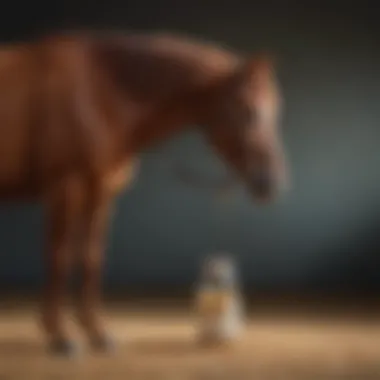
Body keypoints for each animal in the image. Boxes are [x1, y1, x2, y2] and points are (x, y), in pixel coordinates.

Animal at [0, 30, 288, 356]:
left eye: (276, 110)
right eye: (249, 110)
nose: (271, 182)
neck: (97, 94)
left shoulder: (100, 192)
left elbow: (91, 257)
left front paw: (97, 332)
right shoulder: (65, 187)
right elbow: (58, 257)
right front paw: (60, 336)